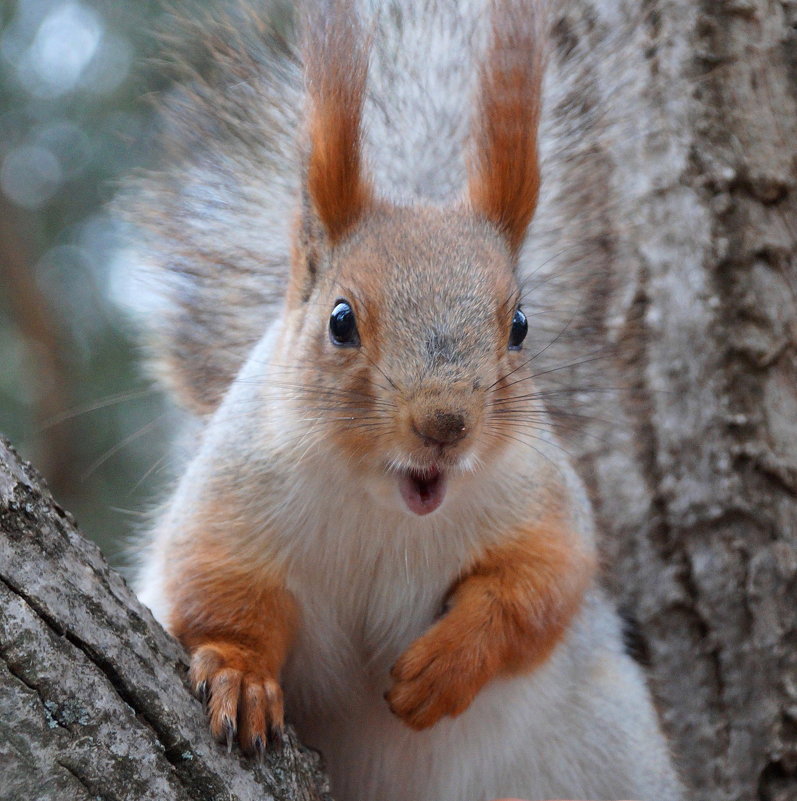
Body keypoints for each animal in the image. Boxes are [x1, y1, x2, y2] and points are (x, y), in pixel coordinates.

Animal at [126, 1, 684, 800]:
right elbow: (216, 590)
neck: (383, 505)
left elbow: (541, 584)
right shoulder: (230, 494)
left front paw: (445, 666)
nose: (445, 423)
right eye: (340, 320)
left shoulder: (541, 498)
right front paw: (241, 675)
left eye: (519, 325)